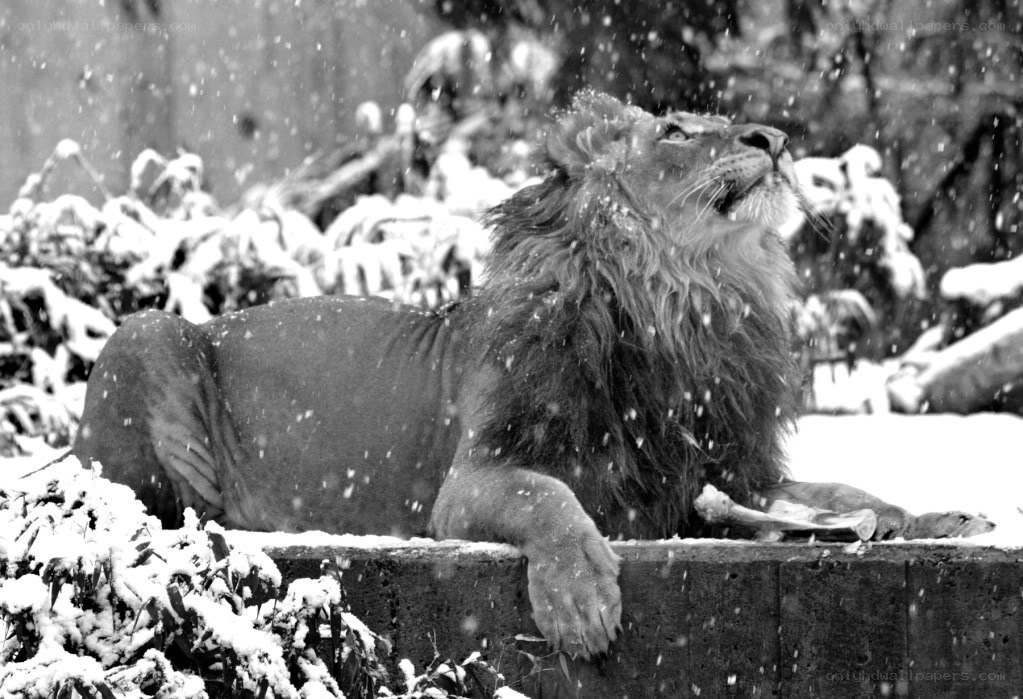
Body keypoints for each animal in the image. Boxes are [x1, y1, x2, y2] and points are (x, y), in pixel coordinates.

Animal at [72, 92, 991, 659]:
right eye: (674, 131)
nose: (772, 140)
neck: (684, 300)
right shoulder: (469, 482)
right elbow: (547, 497)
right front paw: (581, 602)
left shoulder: (720, 471)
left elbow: (847, 495)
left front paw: (936, 517)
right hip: (147, 333)